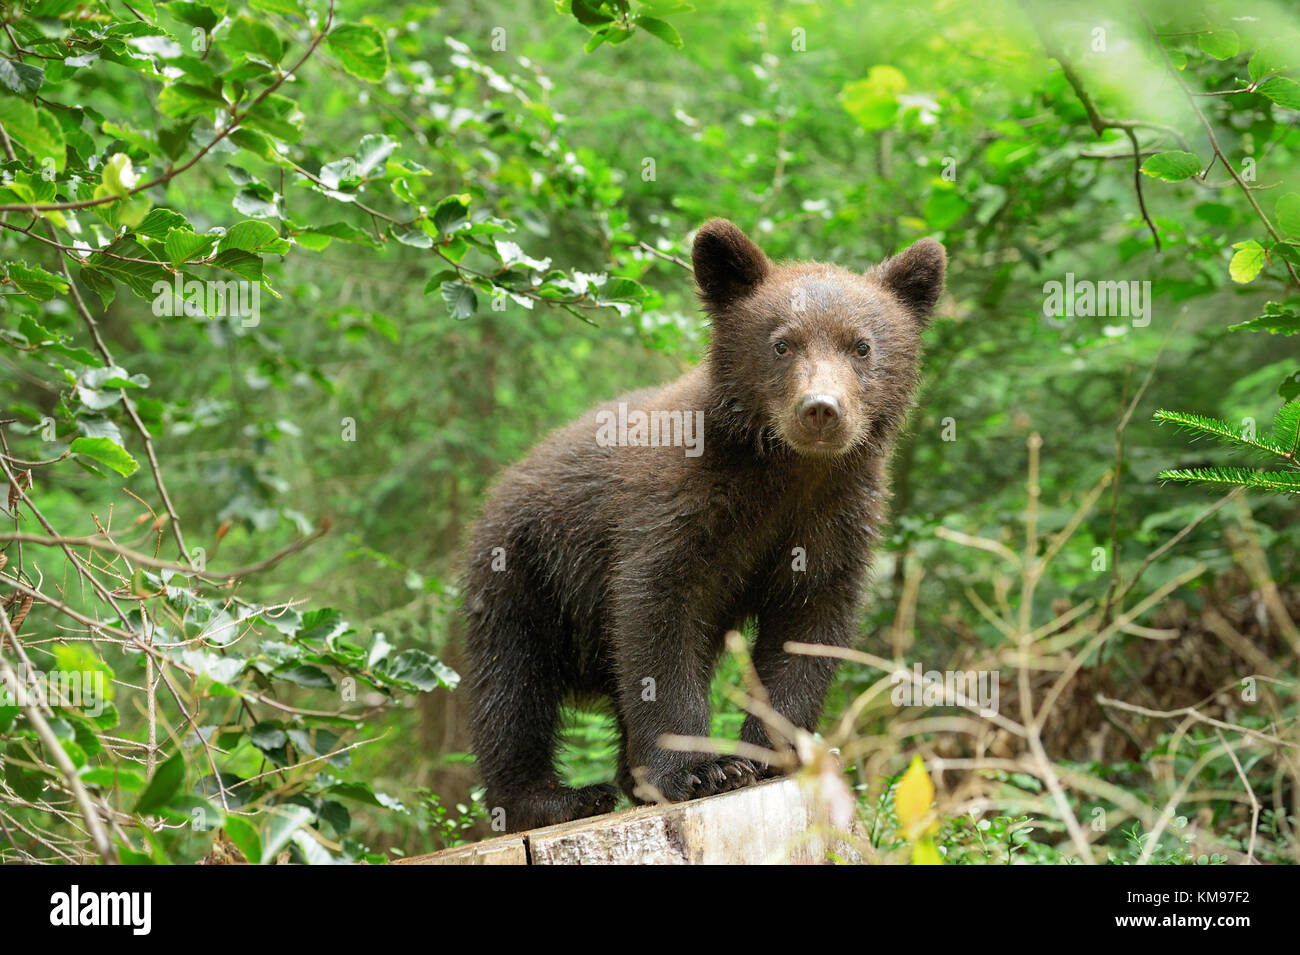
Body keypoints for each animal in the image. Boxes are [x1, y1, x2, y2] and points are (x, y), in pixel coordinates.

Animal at [462, 219, 945, 832]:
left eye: (861, 346)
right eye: (782, 343)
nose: (821, 409)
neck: (784, 472)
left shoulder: (833, 519)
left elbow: (810, 621)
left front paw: (775, 754)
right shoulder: (678, 508)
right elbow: (659, 618)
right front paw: (701, 769)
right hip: (523, 574)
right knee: (512, 690)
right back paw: (553, 798)